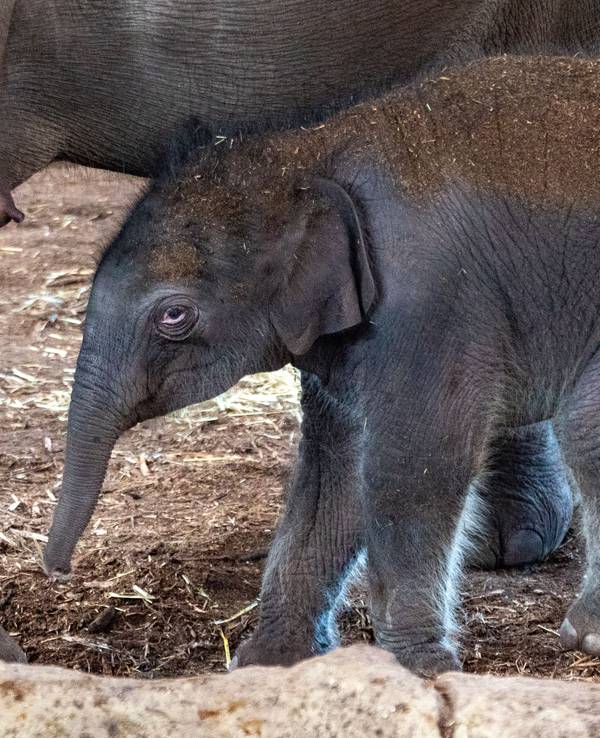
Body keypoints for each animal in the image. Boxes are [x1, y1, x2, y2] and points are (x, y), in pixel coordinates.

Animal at [43, 54, 597, 673]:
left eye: (174, 315)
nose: (56, 569)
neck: (307, 151)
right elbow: (335, 471)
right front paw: (267, 664)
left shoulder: (434, 307)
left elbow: (414, 465)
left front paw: (419, 668)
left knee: (583, 429)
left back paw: (584, 636)